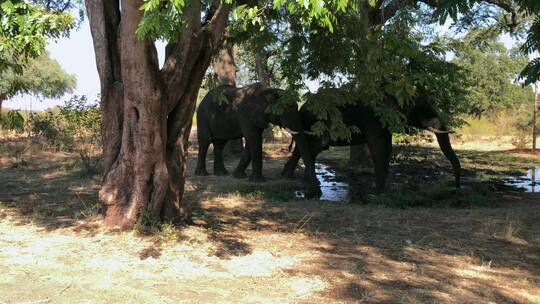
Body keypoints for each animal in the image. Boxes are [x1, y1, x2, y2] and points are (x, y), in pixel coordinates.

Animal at [280, 95, 462, 194]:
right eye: (420, 108)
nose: (456, 189)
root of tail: (302, 107)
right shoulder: (374, 120)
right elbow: (379, 148)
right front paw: (379, 194)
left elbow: (387, 149)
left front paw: (384, 192)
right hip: (316, 123)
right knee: (315, 147)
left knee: (308, 148)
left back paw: (295, 177)